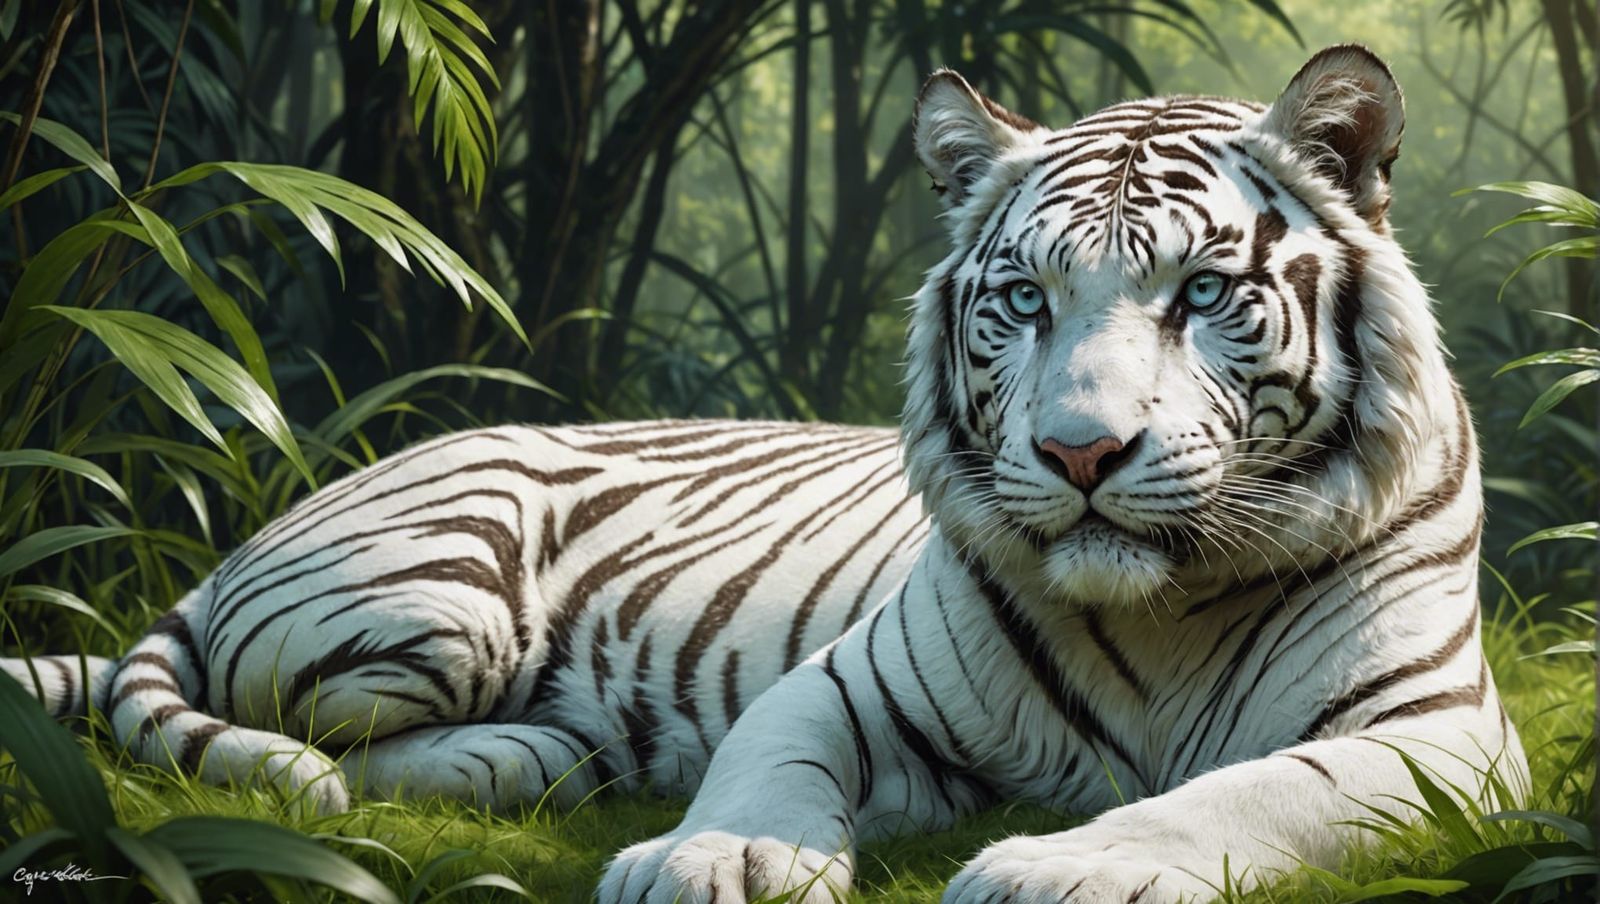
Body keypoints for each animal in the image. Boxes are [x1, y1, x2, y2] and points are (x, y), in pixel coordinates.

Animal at [594, 45, 1528, 903]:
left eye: (1202, 291)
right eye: (1026, 300)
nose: (1081, 451)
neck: (1159, 618)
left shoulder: (1438, 731)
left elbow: (1248, 793)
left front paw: (1060, 867)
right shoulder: (850, 680)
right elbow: (767, 751)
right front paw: (712, 857)